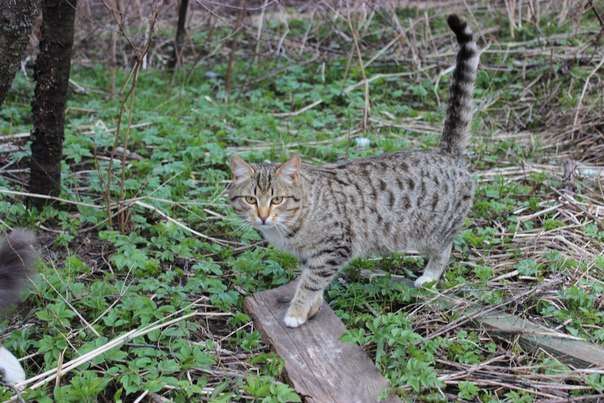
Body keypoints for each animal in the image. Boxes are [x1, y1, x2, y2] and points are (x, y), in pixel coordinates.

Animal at [229, 14, 478, 328]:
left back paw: (429, 277)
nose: (262, 217)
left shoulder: (333, 248)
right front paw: (312, 308)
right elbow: (311, 282)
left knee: (445, 249)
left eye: (277, 199)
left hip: (434, 229)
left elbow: (310, 283)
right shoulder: (311, 256)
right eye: (251, 199)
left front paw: (297, 313)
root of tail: (446, 153)